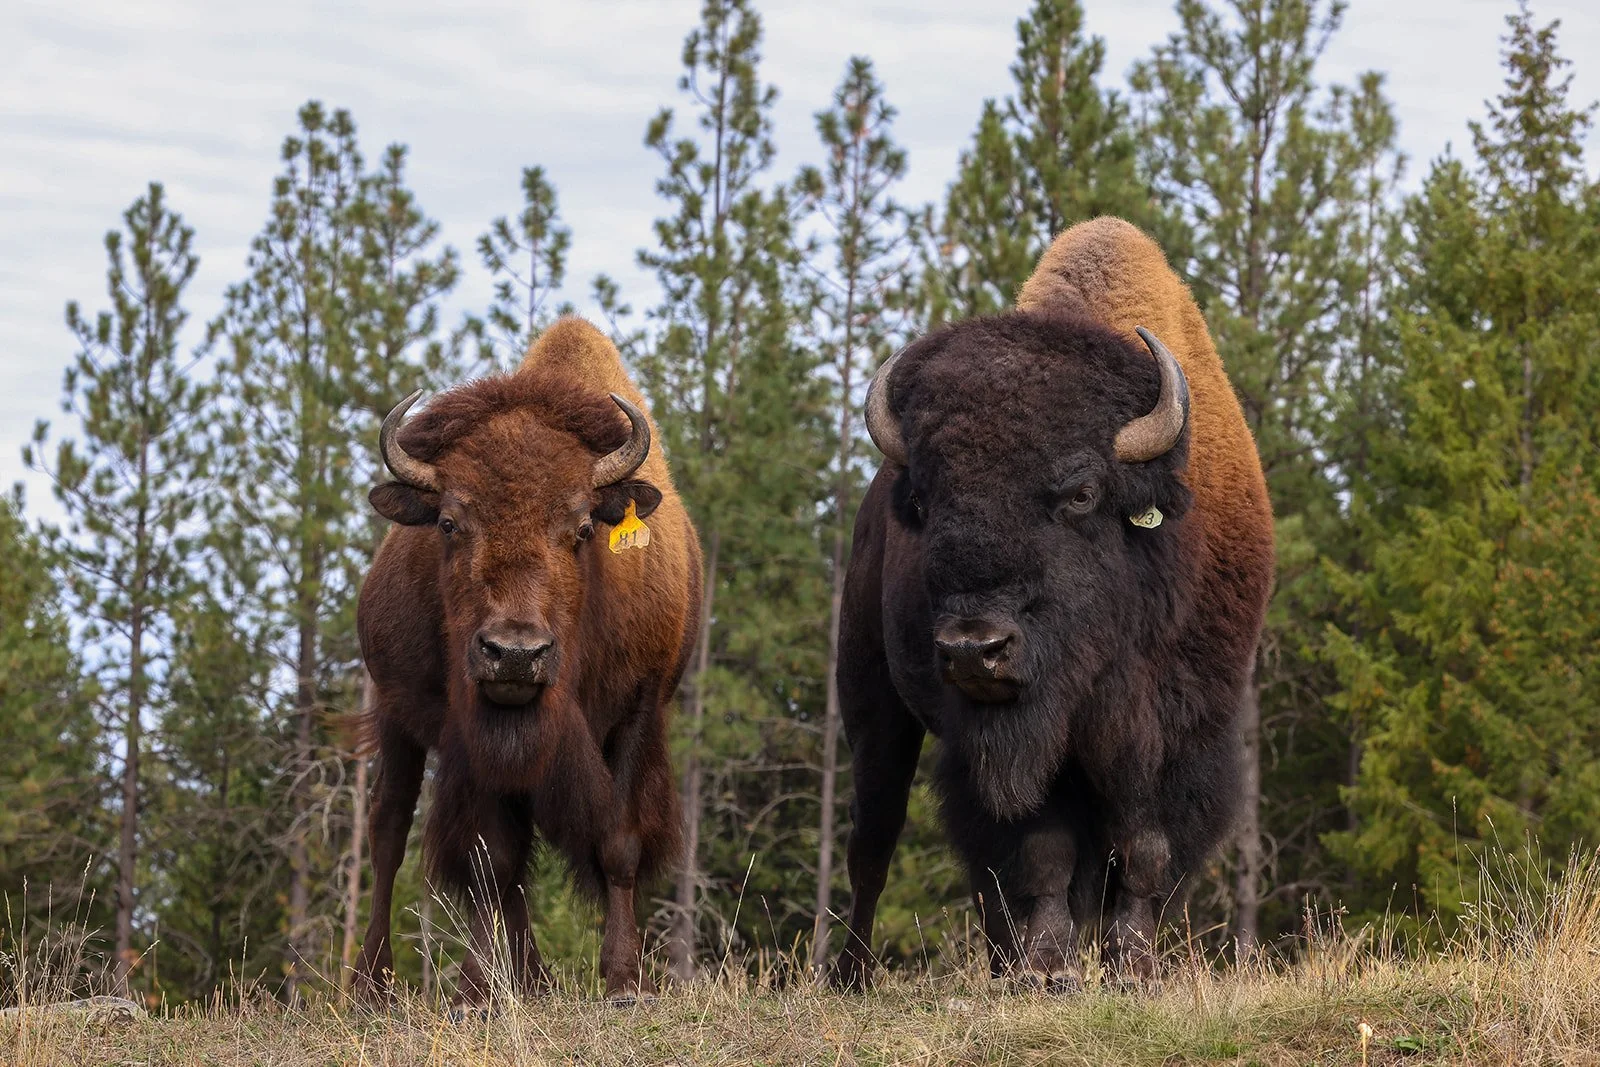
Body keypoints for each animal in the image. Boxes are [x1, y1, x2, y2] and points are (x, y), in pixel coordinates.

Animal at [354, 318, 701, 1004]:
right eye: (450, 522)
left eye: (584, 528)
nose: (515, 654)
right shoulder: (470, 734)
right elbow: (492, 856)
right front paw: (476, 990)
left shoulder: (638, 709)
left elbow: (617, 842)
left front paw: (623, 978)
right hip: (395, 715)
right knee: (388, 830)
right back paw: (373, 984)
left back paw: (531, 977)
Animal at [829, 218, 1274, 990]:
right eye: (926, 501)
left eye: (1081, 493)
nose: (974, 649)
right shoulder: (1014, 745)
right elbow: (1042, 851)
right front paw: (1048, 967)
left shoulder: (1175, 730)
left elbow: (1145, 844)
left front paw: (1132, 965)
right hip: (872, 703)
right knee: (875, 844)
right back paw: (856, 974)